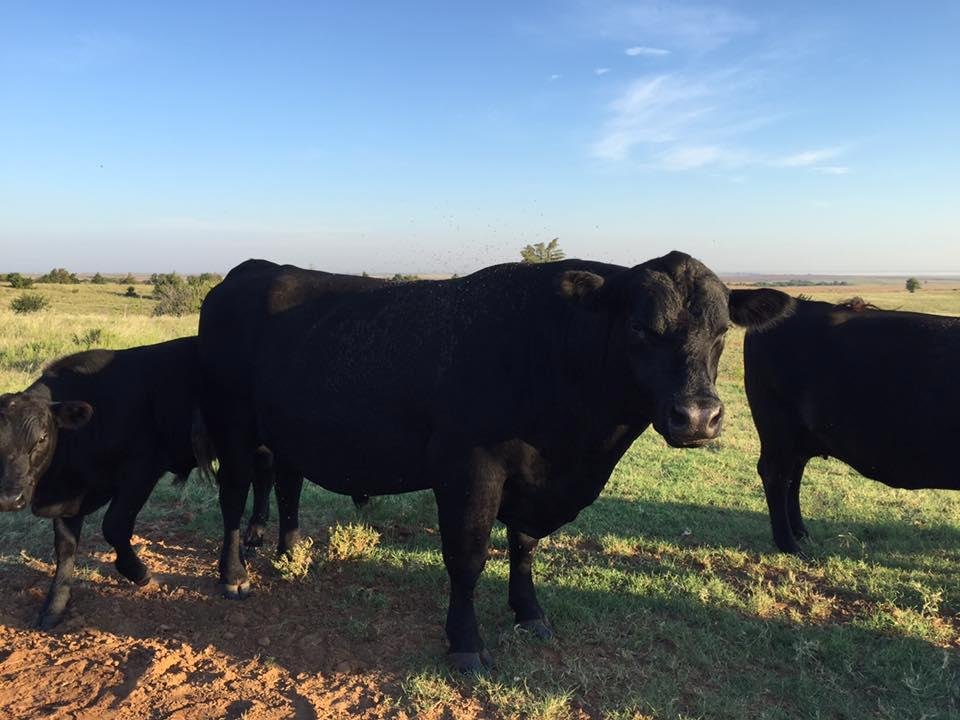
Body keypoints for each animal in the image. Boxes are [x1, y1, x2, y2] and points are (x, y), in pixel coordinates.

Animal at [0, 337, 215, 629]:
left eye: (42, 437)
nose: (9, 499)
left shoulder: (141, 471)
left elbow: (114, 526)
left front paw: (139, 573)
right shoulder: (68, 496)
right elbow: (65, 547)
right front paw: (54, 605)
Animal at [198, 253, 792, 671]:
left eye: (722, 331)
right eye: (640, 328)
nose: (698, 416)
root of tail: (248, 271)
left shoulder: (534, 481)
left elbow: (524, 547)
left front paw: (529, 613)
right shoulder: (469, 470)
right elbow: (467, 557)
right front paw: (466, 643)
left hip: (285, 432)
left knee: (287, 485)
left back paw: (291, 553)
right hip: (232, 426)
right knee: (233, 499)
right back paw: (234, 575)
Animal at [743, 296, 960, 555]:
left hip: (798, 438)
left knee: (793, 477)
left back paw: (801, 534)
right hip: (778, 431)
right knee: (776, 476)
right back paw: (790, 545)